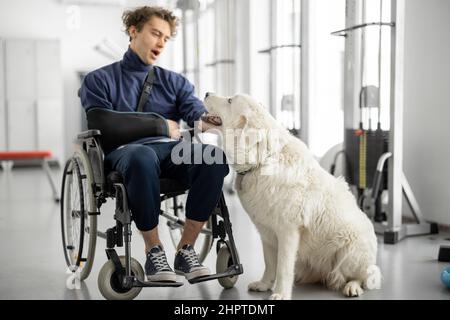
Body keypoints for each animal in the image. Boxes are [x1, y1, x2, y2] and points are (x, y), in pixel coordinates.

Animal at [202, 92, 382, 300]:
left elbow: (283, 267)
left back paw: (352, 287)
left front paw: (280, 293)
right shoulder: (266, 232)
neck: (262, 160)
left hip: (350, 251)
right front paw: (264, 284)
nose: (206, 93)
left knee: (363, 276)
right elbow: (270, 263)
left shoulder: (288, 232)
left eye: (230, 100)